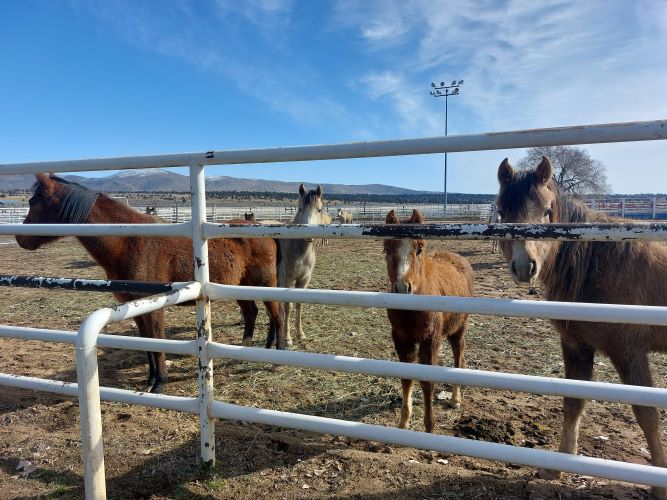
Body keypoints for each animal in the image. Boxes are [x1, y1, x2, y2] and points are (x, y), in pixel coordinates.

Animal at [16, 173, 285, 393]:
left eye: (33, 202)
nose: (20, 239)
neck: (129, 242)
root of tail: (265, 230)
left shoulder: (154, 307)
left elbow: (156, 340)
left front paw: (160, 383)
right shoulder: (134, 306)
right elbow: (146, 342)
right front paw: (151, 378)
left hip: (264, 284)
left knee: (277, 314)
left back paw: (278, 356)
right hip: (240, 286)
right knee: (253, 313)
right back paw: (249, 349)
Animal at [277, 184, 325, 346]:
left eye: (319, 209)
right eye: (300, 208)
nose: (308, 234)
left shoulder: (304, 279)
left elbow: (298, 303)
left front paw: (300, 334)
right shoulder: (287, 278)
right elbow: (288, 305)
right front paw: (287, 338)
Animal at [384, 209, 474, 432]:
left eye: (419, 248)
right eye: (387, 248)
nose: (403, 288)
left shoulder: (430, 340)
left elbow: (427, 381)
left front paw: (429, 426)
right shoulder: (401, 340)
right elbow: (406, 378)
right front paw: (403, 422)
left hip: (458, 329)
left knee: (459, 356)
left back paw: (455, 399)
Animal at [496, 156, 667, 498]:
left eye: (547, 211)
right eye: (503, 212)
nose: (524, 267)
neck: (596, 263)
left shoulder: (629, 352)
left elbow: (647, 414)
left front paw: (660, 488)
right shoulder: (576, 346)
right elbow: (573, 403)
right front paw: (558, 466)